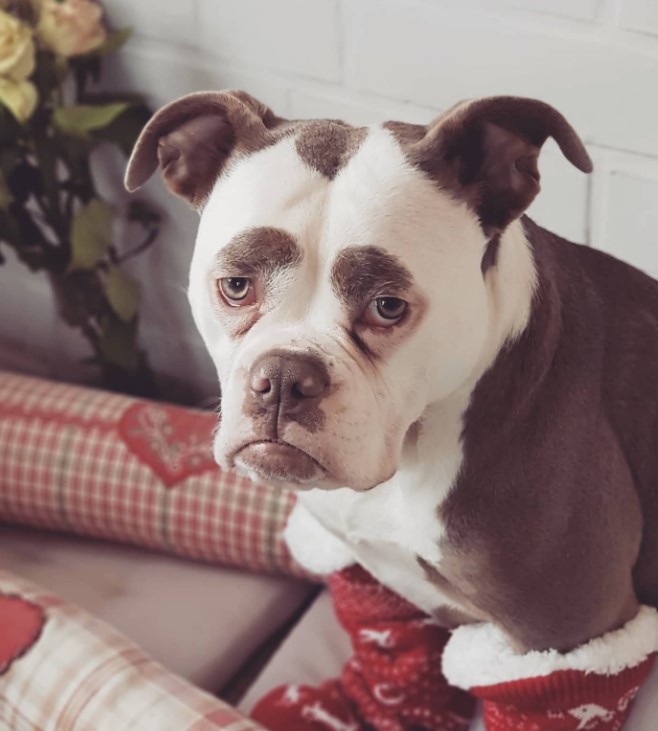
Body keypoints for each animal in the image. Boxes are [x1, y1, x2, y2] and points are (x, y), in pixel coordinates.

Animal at [127, 91, 656, 728]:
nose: (283, 379)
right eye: (235, 285)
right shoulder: (369, 568)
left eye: (388, 306)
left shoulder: (570, 633)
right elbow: (397, 657)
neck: (413, 448)